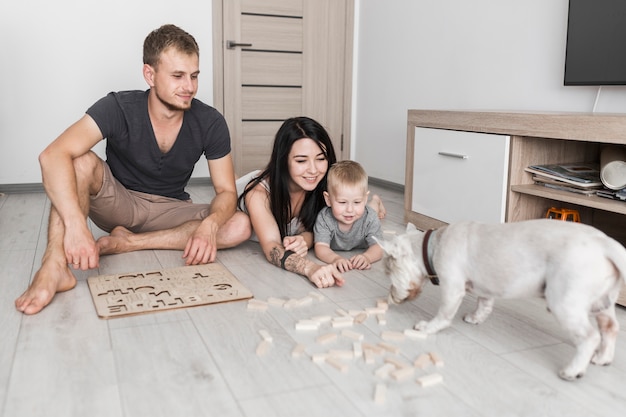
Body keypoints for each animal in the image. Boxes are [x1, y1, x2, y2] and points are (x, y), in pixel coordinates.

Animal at [376, 219, 624, 378]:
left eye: (389, 271)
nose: (389, 297)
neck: (431, 245)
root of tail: (604, 244)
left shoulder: (452, 288)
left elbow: (444, 313)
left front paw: (427, 327)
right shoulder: (485, 290)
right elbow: (484, 304)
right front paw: (476, 318)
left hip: (564, 301)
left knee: (590, 336)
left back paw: (573, 370)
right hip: (602, 302)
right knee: (610, 328)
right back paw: (603, 358)